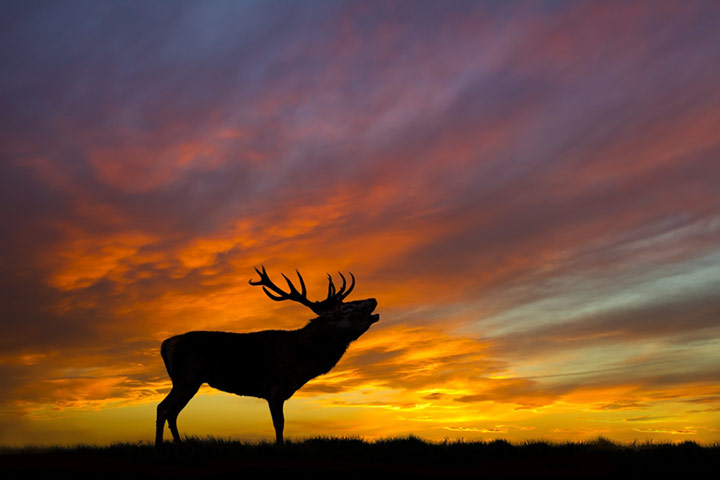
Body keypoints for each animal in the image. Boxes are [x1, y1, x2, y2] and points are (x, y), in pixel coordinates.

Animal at [155, 266, 379, 446]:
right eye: (347, 306)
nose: (373, 299)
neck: (300, 359)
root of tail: (166, 344)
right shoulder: (274, 386)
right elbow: (279, 424)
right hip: (187, 377)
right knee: (163, 408)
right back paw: (159, 447)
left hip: (187, 381)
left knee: (172, 412)